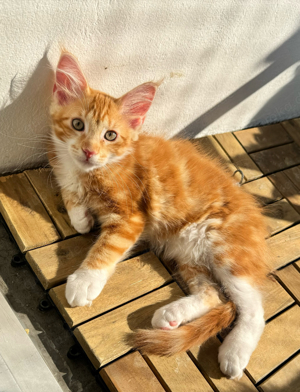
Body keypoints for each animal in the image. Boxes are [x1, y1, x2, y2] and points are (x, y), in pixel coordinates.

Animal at [49, 52, 270, 380]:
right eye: (77, 124)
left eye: (110, 135)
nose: (89, 152)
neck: (92, 172)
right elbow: (72, 199)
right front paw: (81, 217)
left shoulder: (131, 217)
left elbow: (106, 247)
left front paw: (85, 281)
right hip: (189, 255)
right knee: (212, 295)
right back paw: (170, 315)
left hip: (227, 249)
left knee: (255, 309)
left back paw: (234, 351)